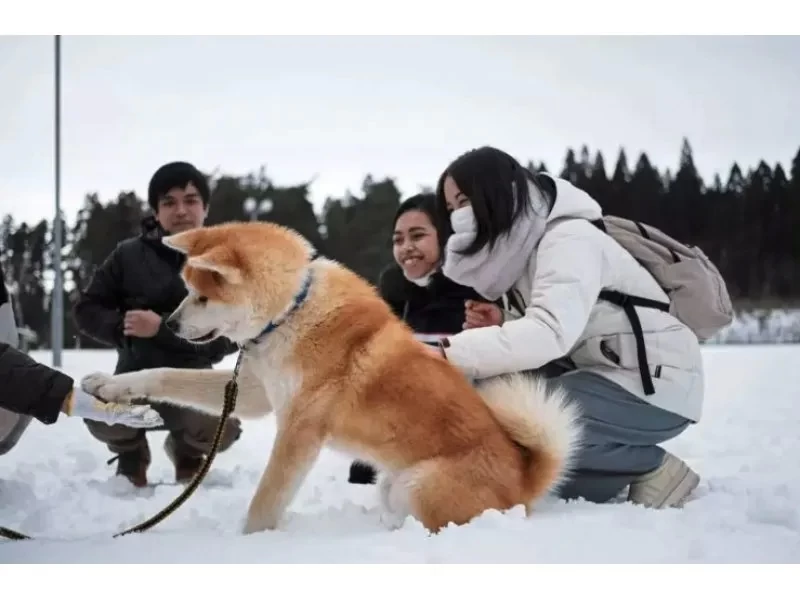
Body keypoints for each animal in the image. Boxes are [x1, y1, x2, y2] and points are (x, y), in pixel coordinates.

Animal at [79, 221, 580, 540]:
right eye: (187, 290)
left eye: (202, 296)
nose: (170, 325)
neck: (290, 313)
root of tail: (525, 480)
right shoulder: (255, 394)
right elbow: (164, 374)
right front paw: (108, 385)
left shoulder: (299, 429)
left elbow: (265, 500)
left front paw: (247, 545)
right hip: (392, 486)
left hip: (418, 486)